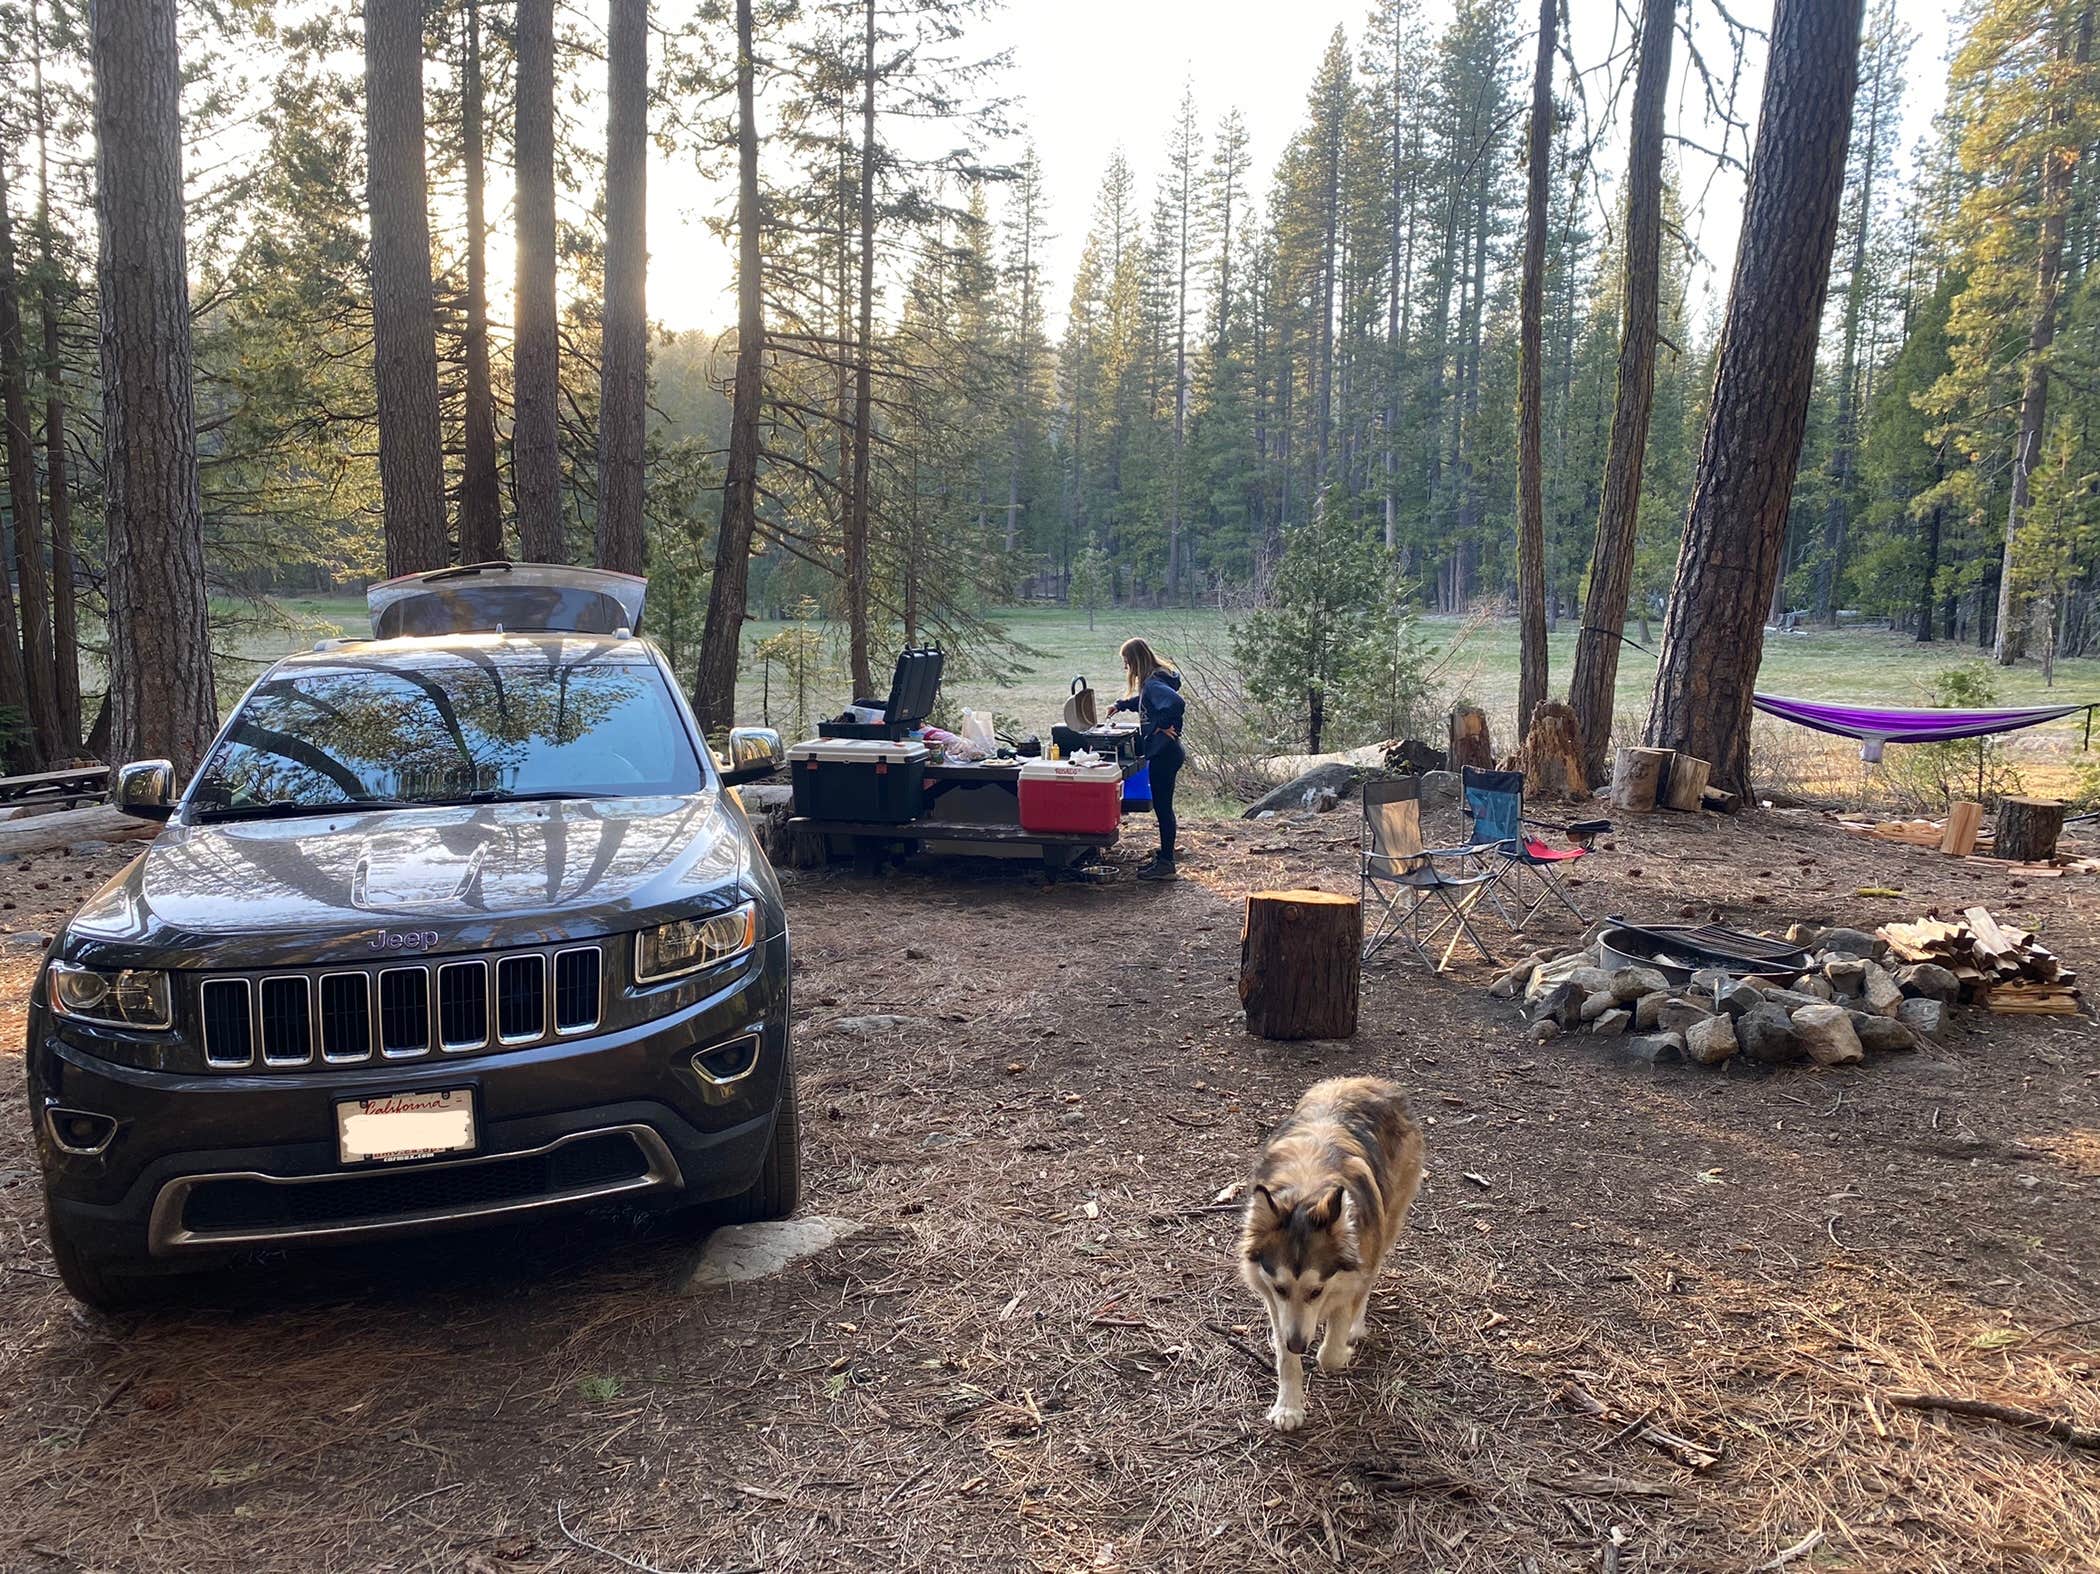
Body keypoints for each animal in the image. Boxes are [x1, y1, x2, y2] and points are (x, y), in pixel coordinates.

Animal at [1226, 1082, 1427, 1435]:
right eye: (1281, 1289)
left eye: (1316, 1291)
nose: (1298, 1344)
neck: (1307, 1191)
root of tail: (1370, 1081)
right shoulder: (1276, 1304)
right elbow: (1285, 1359)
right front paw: (1288, 1408)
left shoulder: (1351, 1272)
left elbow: (1330, 1351)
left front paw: (1341, 1349)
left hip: (1389, 1223)